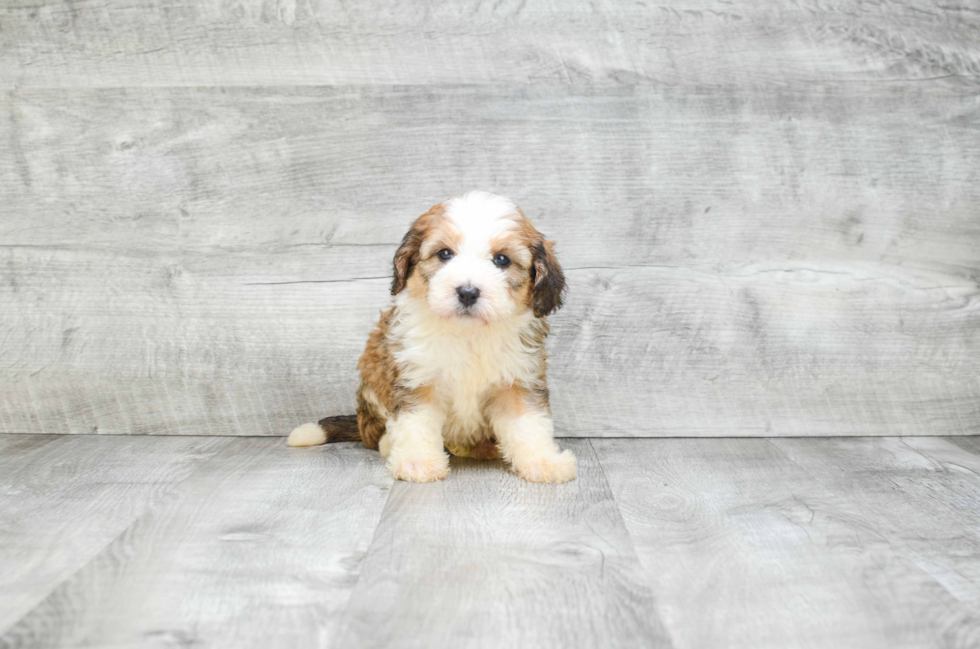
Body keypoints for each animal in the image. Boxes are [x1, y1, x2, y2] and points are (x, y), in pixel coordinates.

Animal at [288, 191, 576, 480]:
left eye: (502, 260)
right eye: (445, 254)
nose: (467, 292)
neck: (468, 333)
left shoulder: (518, 379)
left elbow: (528, 421)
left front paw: (543, 461)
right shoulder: (416, 377)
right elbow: (416, 421)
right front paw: (418, 462)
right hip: (372, 381)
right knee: (375, 433)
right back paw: (388, 444)